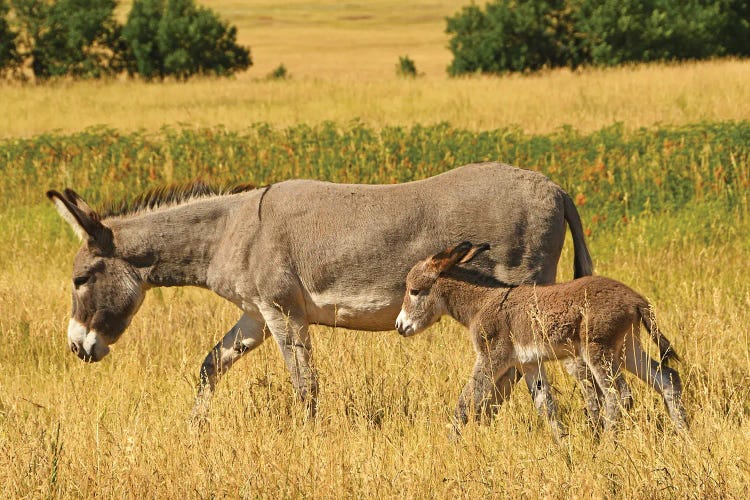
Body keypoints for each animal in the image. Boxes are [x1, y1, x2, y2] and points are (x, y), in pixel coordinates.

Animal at [396, 242, 692, 434]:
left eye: (414, 290)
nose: (400, 326)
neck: (482, 304)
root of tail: (636, 299)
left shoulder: (492, 356)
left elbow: (467, 399)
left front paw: (451, 440)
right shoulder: (527, 363)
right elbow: (546, 407)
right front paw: (562, 444)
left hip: (598, 351)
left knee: (618, 395)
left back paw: (610, 443)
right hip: (627, 348)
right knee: (667, 378)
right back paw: (684, 435)